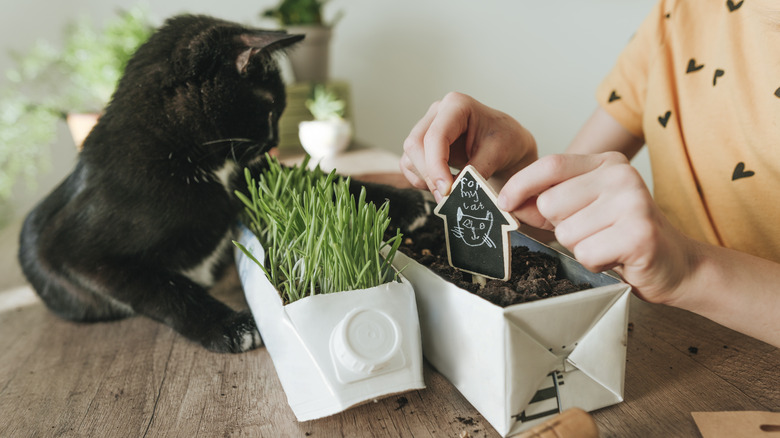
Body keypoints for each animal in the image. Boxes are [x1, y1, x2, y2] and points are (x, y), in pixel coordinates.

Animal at [16, 15, 432, 354]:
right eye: (271, 107)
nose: (273, 140)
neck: (189, 158)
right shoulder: (81, 256)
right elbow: (164, 290)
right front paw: (229, 327)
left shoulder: (256, 176)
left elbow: (324, 180)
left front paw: (407, 202)